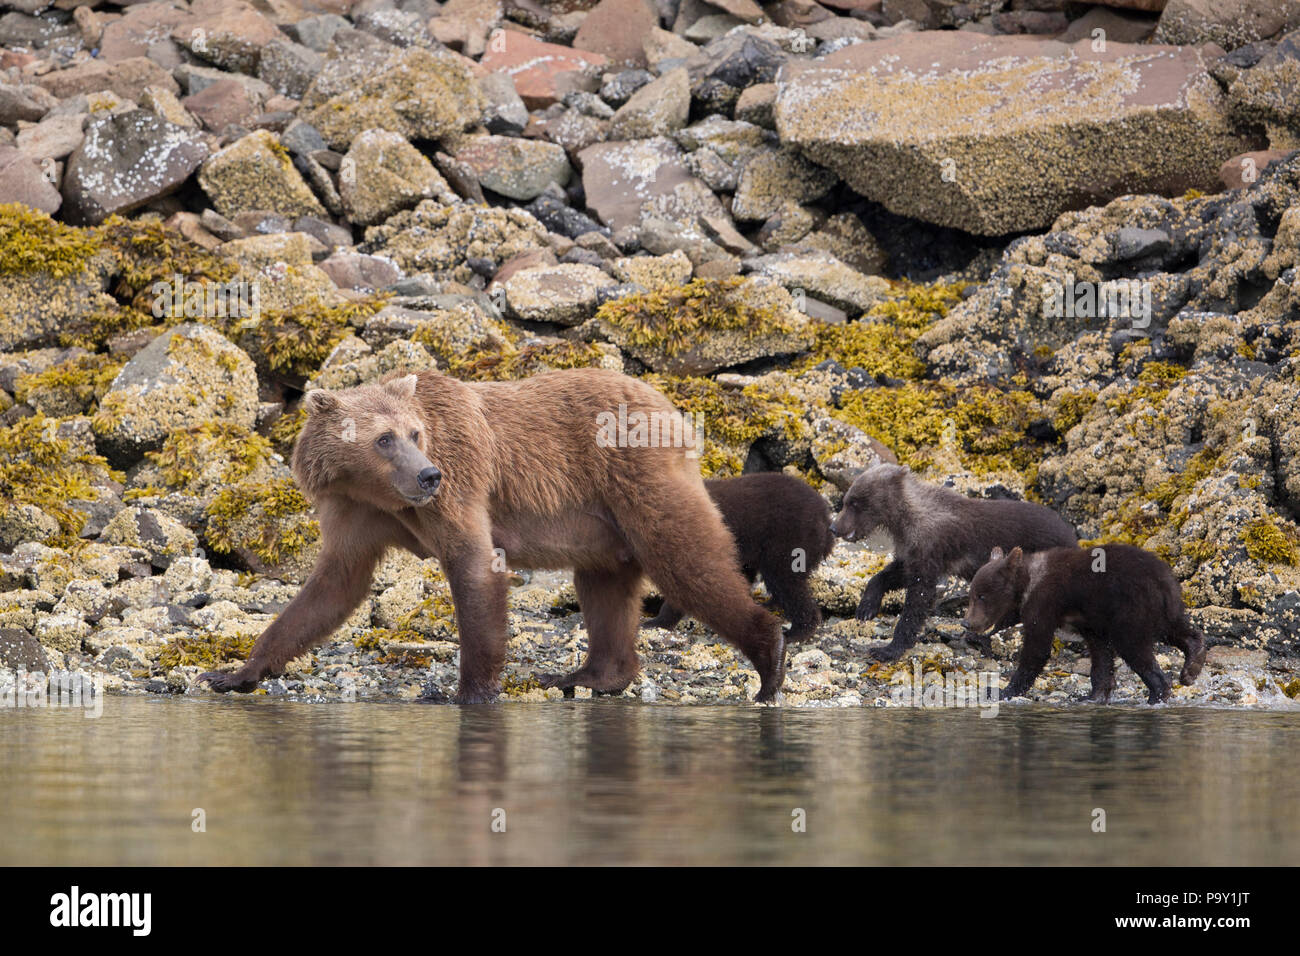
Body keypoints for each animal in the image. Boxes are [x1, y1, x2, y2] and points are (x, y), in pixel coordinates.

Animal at [197, 369, 785, 707]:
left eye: (414, 433)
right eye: (384, 439)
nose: (427, 475)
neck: (377, 492)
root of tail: (671, 405)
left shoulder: (458, 484)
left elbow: (475, 565)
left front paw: (470, 692)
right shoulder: (358, 514)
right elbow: (331, 588)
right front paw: (235, 672)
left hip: (635, 474)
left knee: (683, 555)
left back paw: (769, 657)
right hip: (597, 523)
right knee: (604, 587)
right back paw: (588, 675)